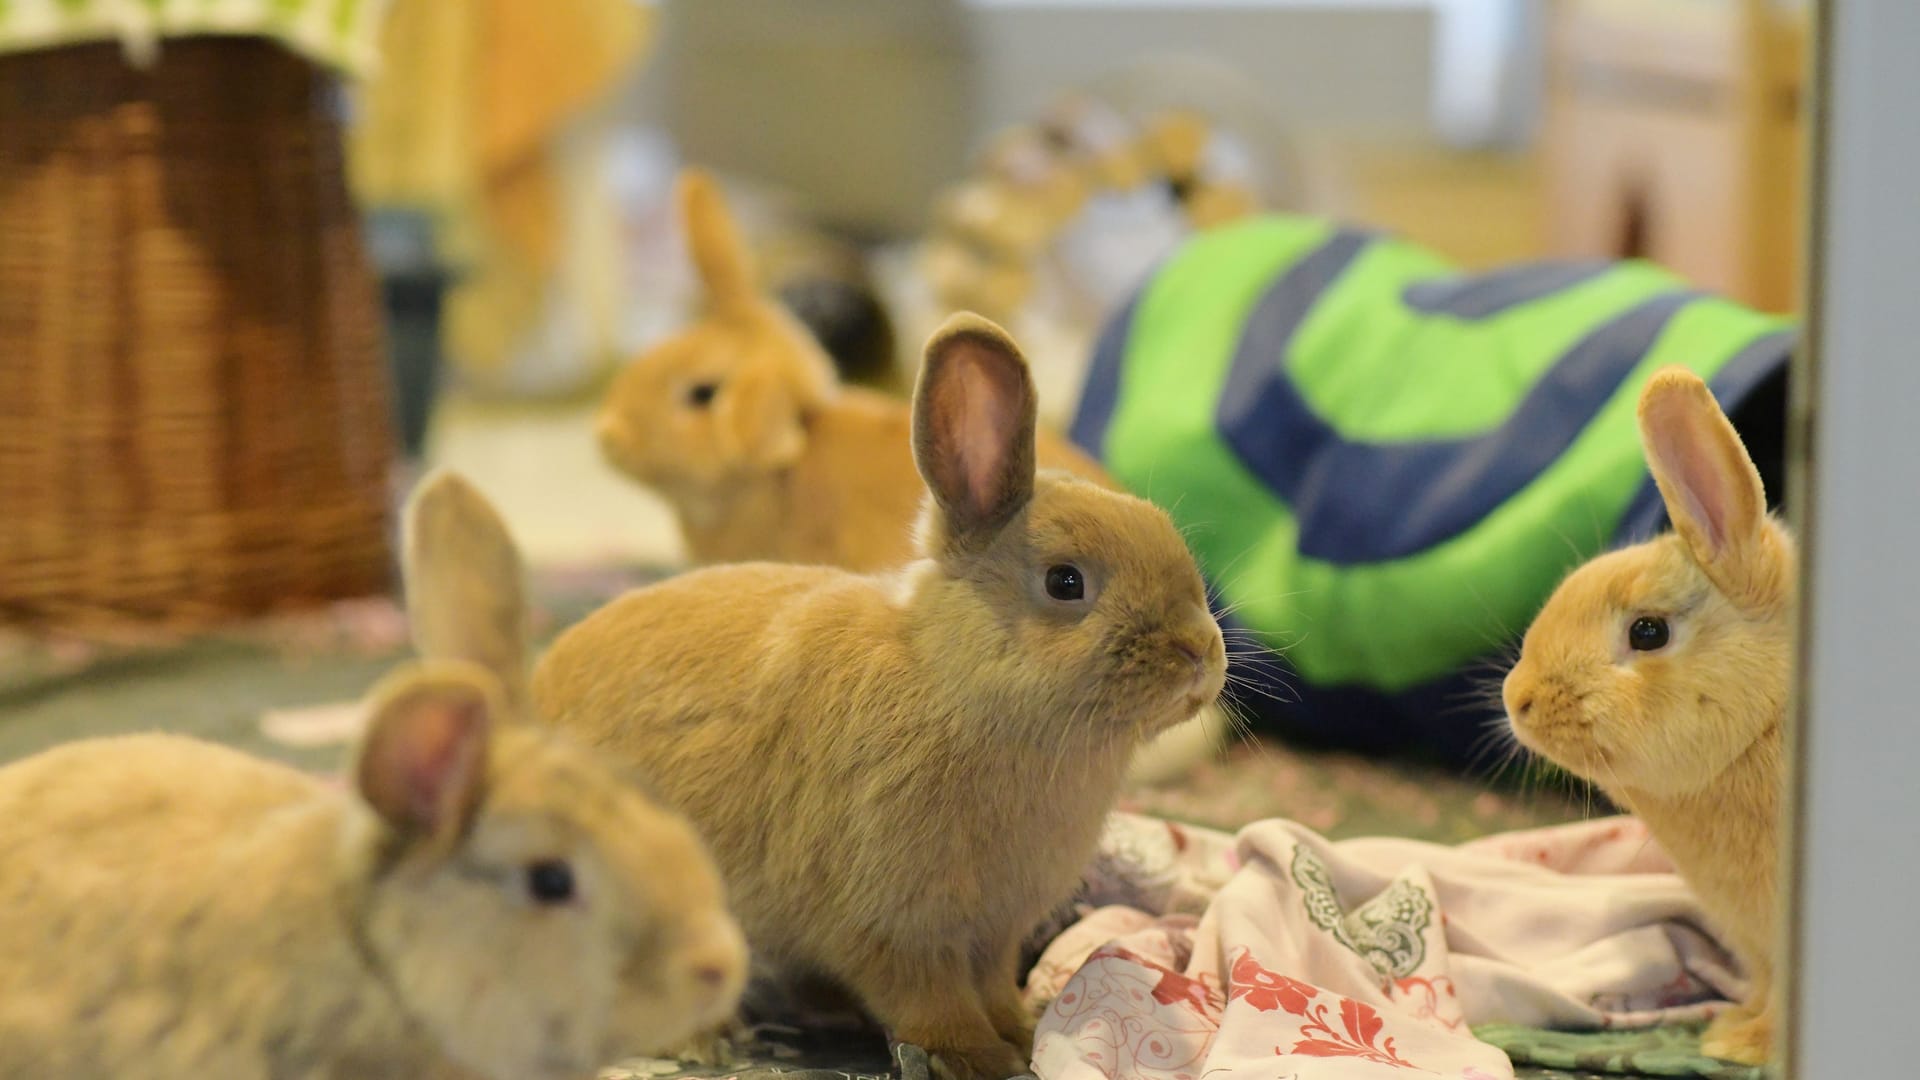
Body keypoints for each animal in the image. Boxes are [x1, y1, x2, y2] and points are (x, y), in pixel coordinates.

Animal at [533, 311, 1221, 1076]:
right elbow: (930, 1000)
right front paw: (979, 1058)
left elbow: (990, 984)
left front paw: (1021, 1030)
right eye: (1065, 582)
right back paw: (706, 1038)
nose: (1200, 653)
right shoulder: (895, 924)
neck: (952, 683)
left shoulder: (993, 932)